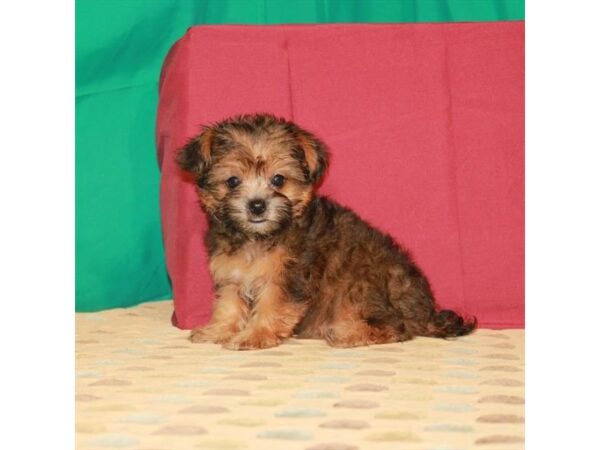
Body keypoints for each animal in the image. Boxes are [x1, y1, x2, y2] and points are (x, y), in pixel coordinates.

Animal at [176, 114, 476, 350]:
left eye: (278, 179)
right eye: (232, 181)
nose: (257, 205)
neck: (257, 237)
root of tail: (425, 312)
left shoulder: (288, 277)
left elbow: (271, 305)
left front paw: (255, 335)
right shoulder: (232, 274)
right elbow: (228, 304)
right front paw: (218, 330)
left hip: (362, 285)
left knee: (396, 327)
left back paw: (348, 333)